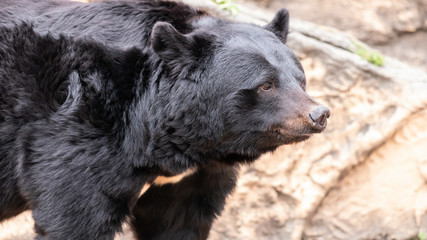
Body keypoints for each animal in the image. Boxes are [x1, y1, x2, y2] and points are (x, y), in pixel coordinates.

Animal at [0, 0, 332, 240]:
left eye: (300, 80)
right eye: (266, 85)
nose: (319, 114)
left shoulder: (190, 177)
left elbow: (178, 221)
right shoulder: (77, 126)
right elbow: (76, 212)